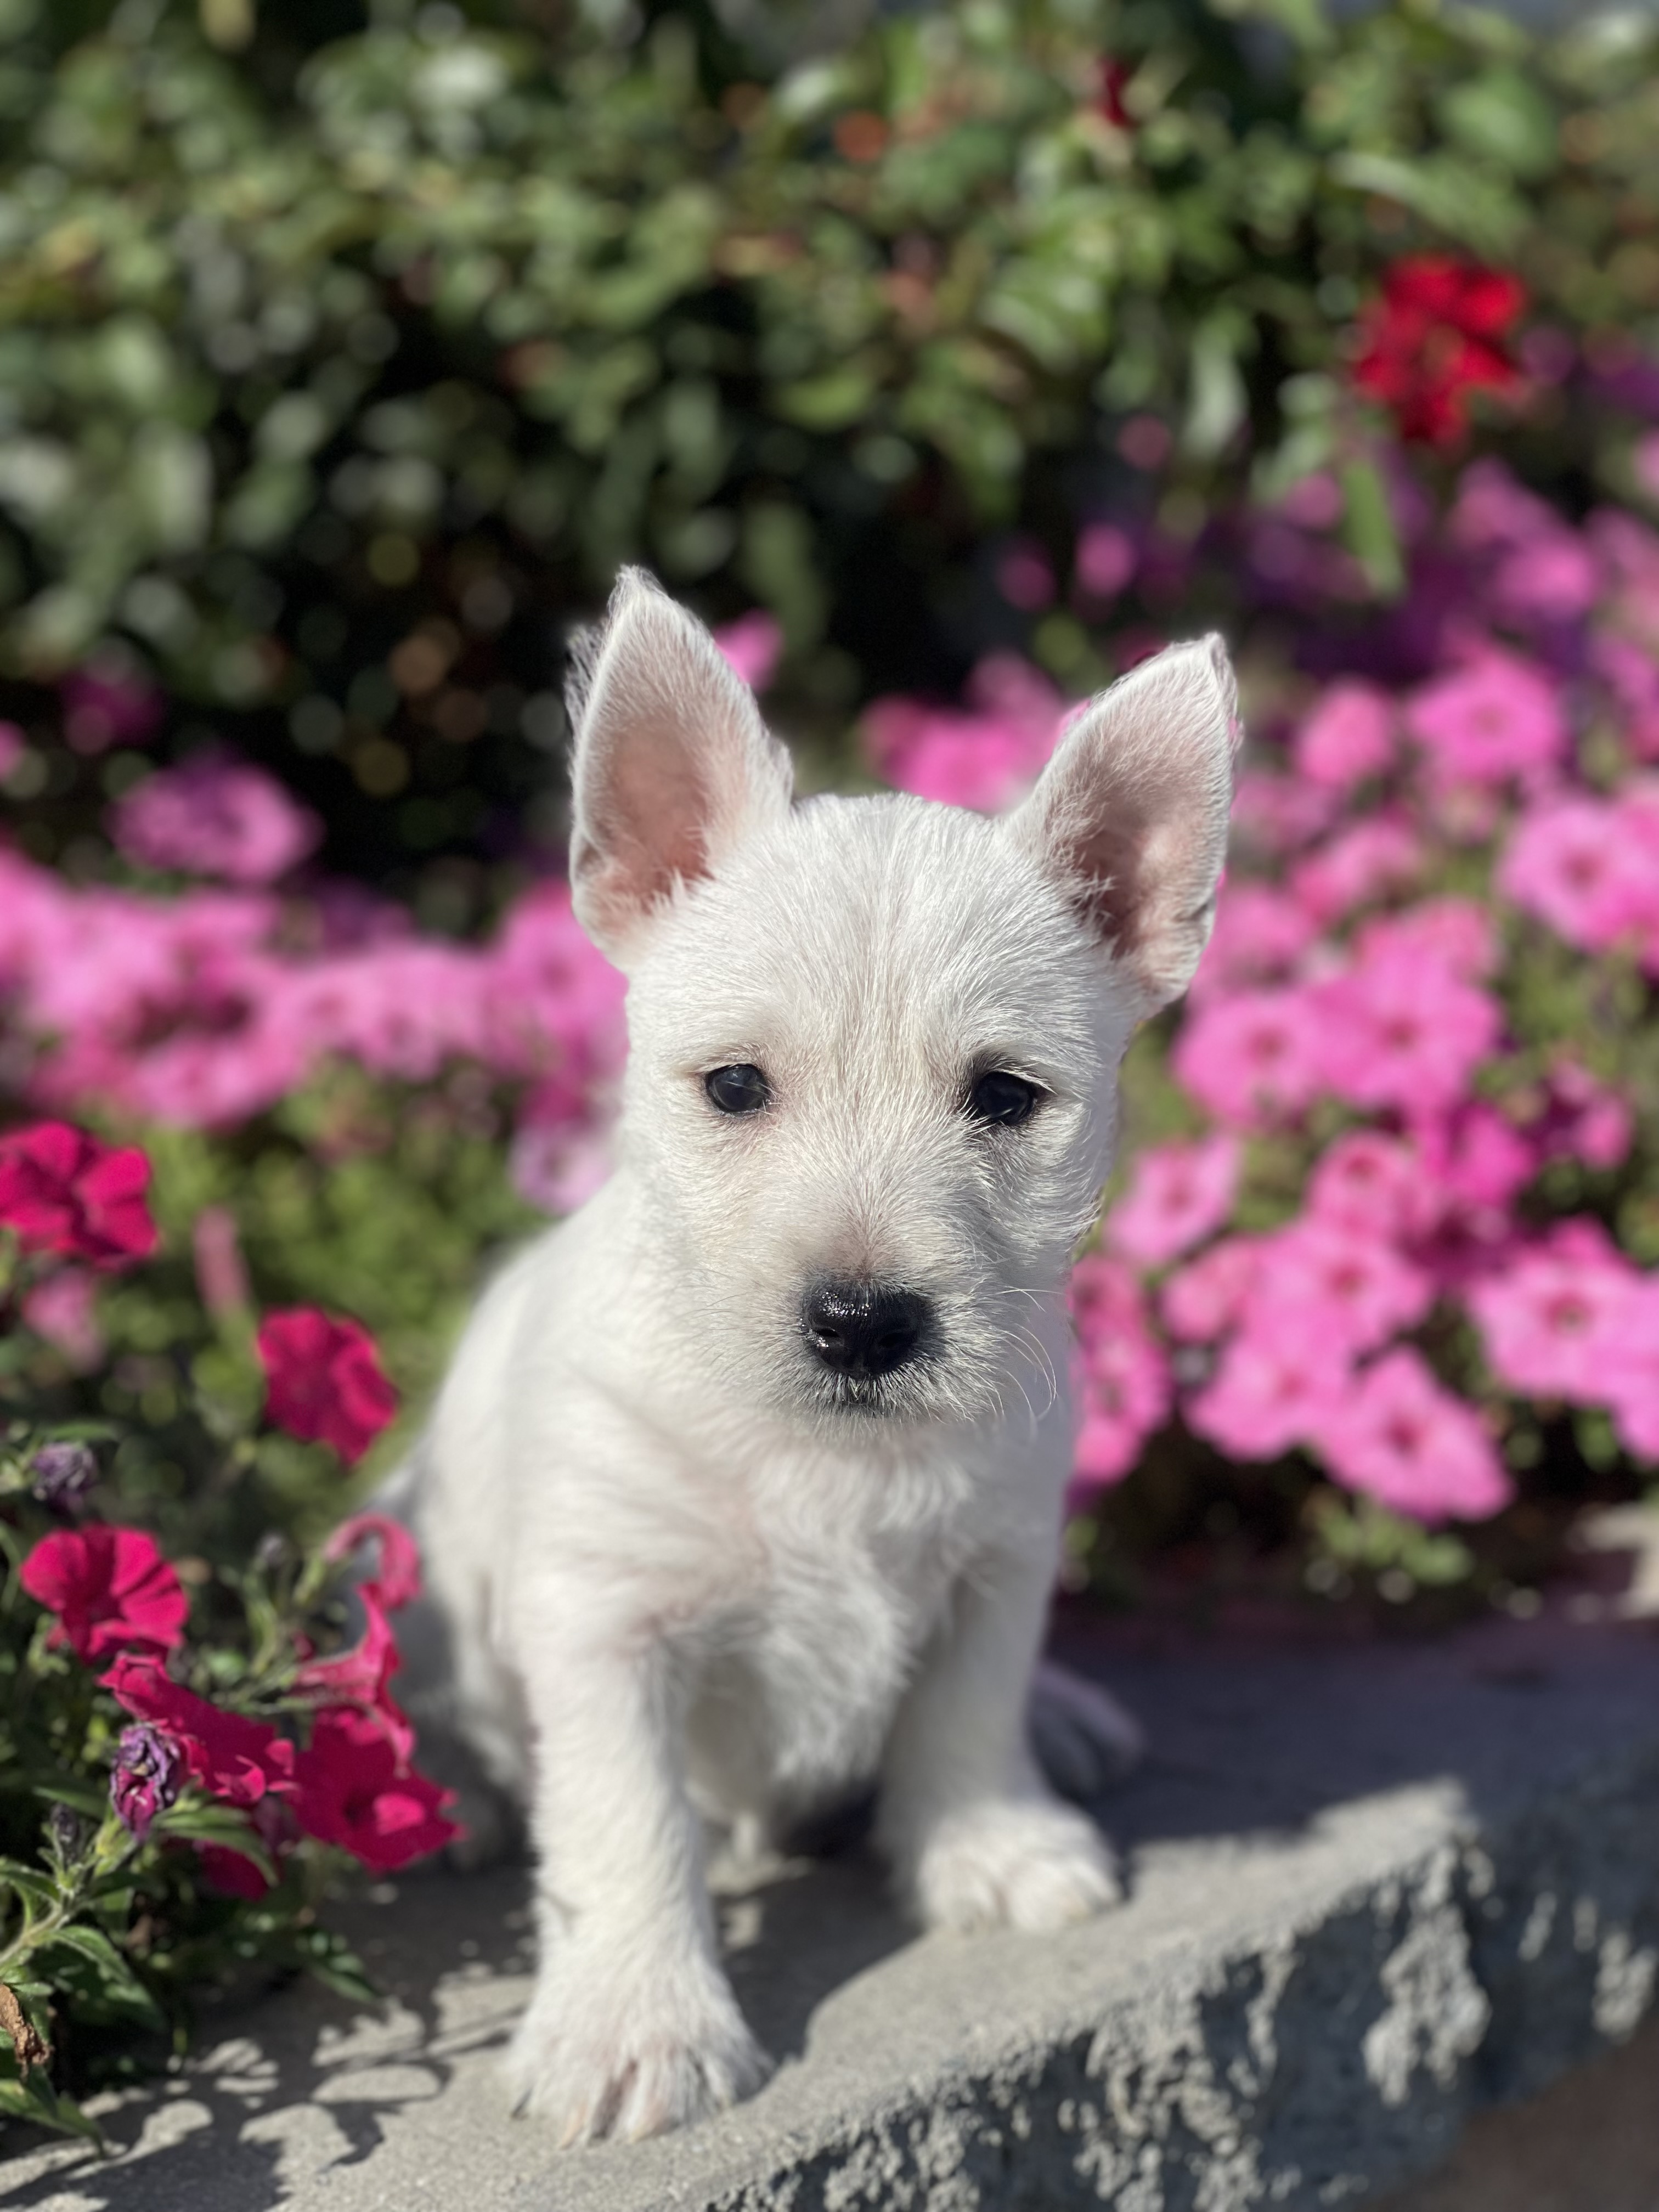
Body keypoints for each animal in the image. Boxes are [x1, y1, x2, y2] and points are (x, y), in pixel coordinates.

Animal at [393, 571, 1238, 2141]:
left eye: (1006, 1097)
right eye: (736, 1086)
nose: (862, 1322)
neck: (830, 1455)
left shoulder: (1000, 1557)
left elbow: (970, 1704)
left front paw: (991, 1849)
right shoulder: (606, 1621)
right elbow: (624, 1822)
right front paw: (637, 2025)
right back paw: (453, 1799)